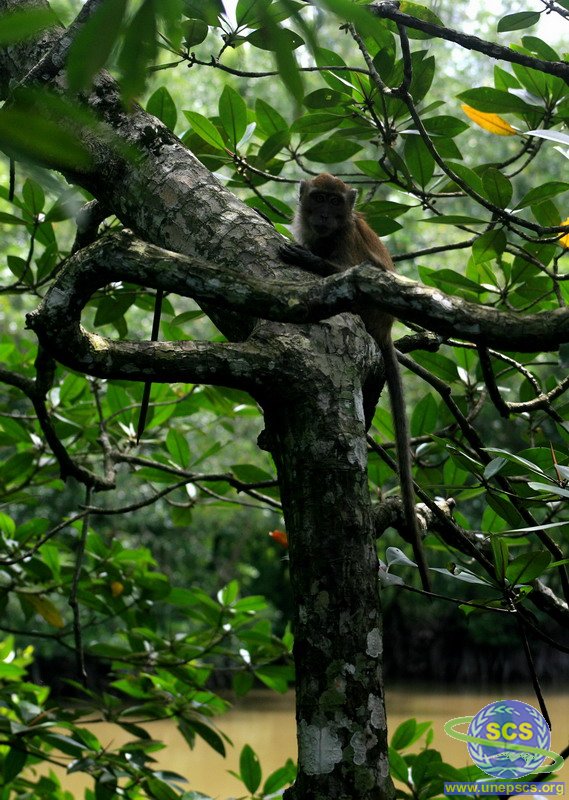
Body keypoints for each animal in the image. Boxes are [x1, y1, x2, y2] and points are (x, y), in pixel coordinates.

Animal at [280, 173, 431, 592]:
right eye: (318, 198)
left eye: (334, 202)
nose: (324, 215)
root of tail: (386, 326)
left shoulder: (345, 239)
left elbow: (356, 271)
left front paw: (308, 259)